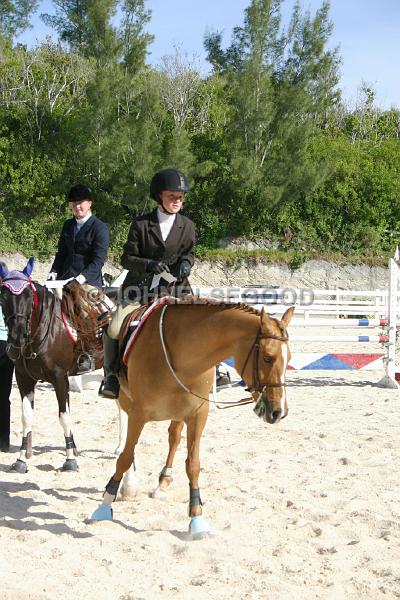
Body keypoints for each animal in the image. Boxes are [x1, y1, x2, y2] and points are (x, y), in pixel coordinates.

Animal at [90, 298, 294, 536]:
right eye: (268, 357)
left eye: (289, 358)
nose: (279, 412)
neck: (184, 357)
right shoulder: (138, 414)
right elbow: (124, 457)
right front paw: (104, 505)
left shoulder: (198, 415)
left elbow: (193, 465)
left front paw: (196, 518)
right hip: (128, 402)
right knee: (129, 444)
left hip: (179, 412)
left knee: (173, 437)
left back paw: (163, 482)